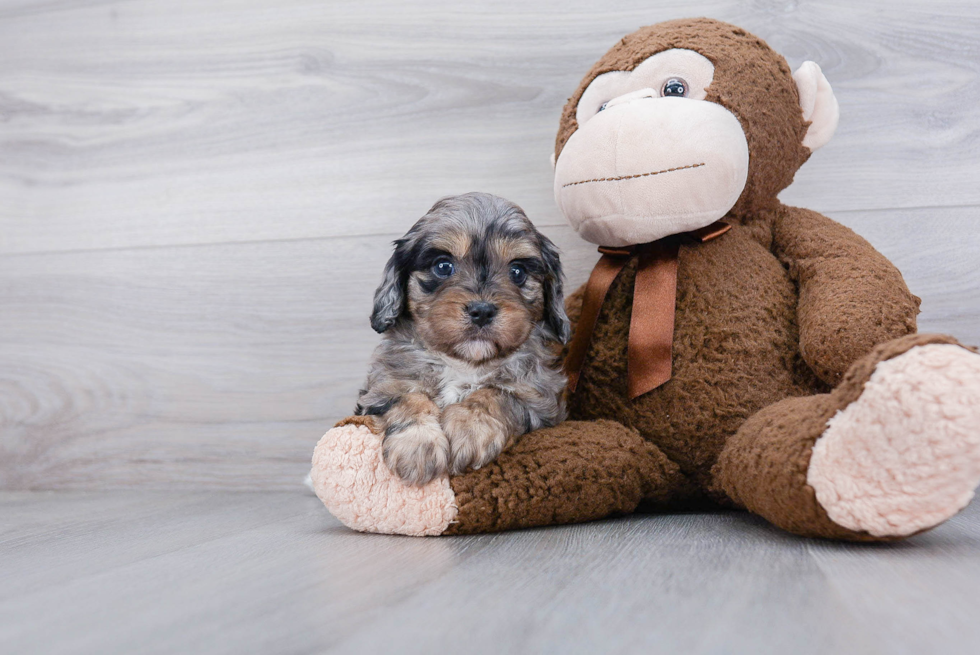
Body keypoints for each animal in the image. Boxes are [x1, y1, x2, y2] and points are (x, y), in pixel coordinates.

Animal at [356, 192, 572, 484]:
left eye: (517, 272)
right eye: (443, 266)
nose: (482, 311)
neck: (462, 363)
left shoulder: (541, 399)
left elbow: (496, 394)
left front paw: (470, 428)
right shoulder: (382, 388)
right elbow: (408, 398)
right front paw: (416, 446)